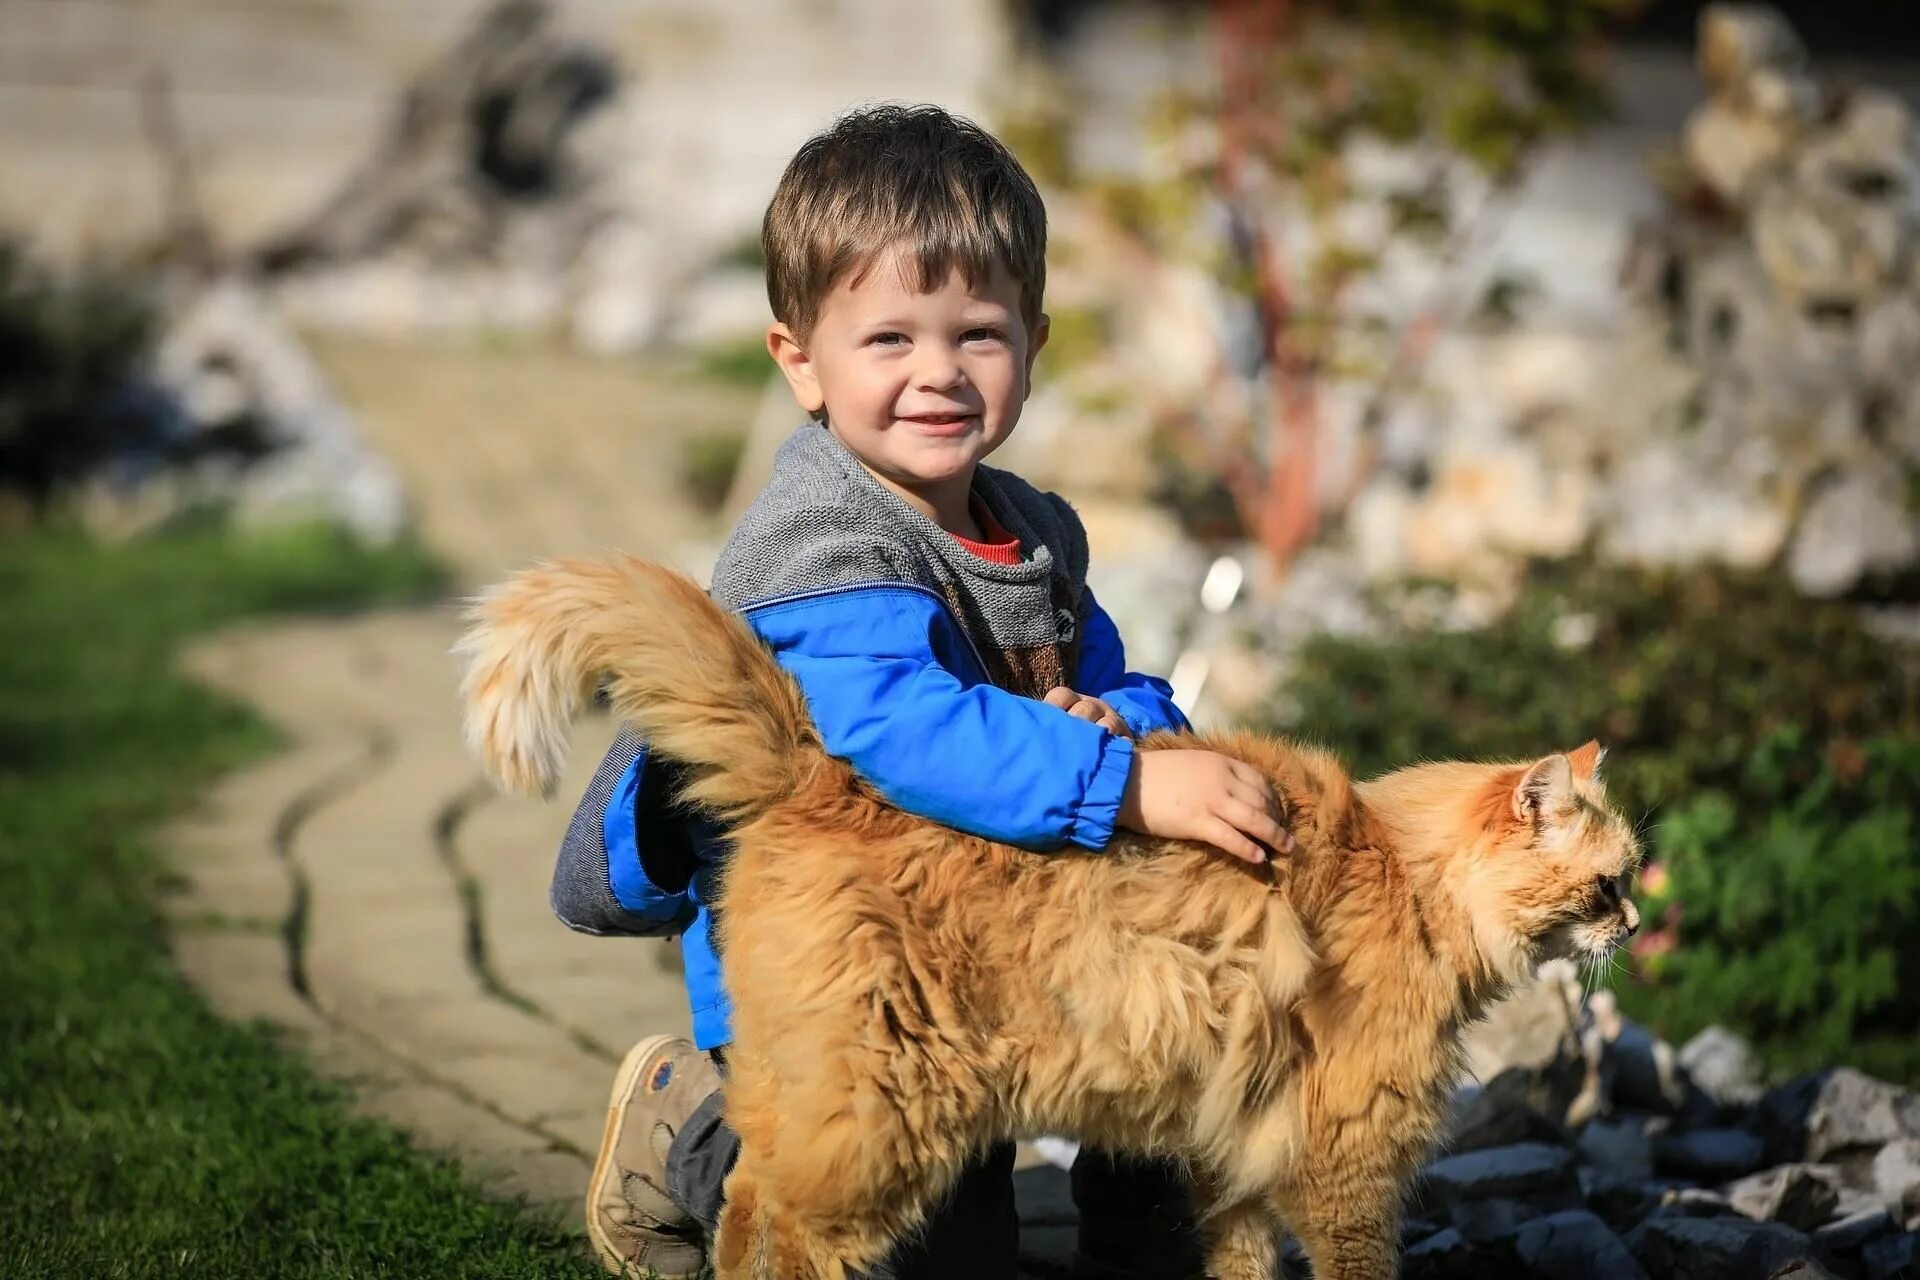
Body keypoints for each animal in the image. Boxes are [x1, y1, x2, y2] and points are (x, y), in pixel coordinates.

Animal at [456, 556, 1643, 1280]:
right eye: (1608, 884)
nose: (1635, 925)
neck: (1402, 875)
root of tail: (822, 772)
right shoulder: (1347, 1160)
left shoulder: (1238, 1160)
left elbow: (1241, 1261)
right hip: (884, 1115)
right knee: (774, 1219)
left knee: (742, 1196)